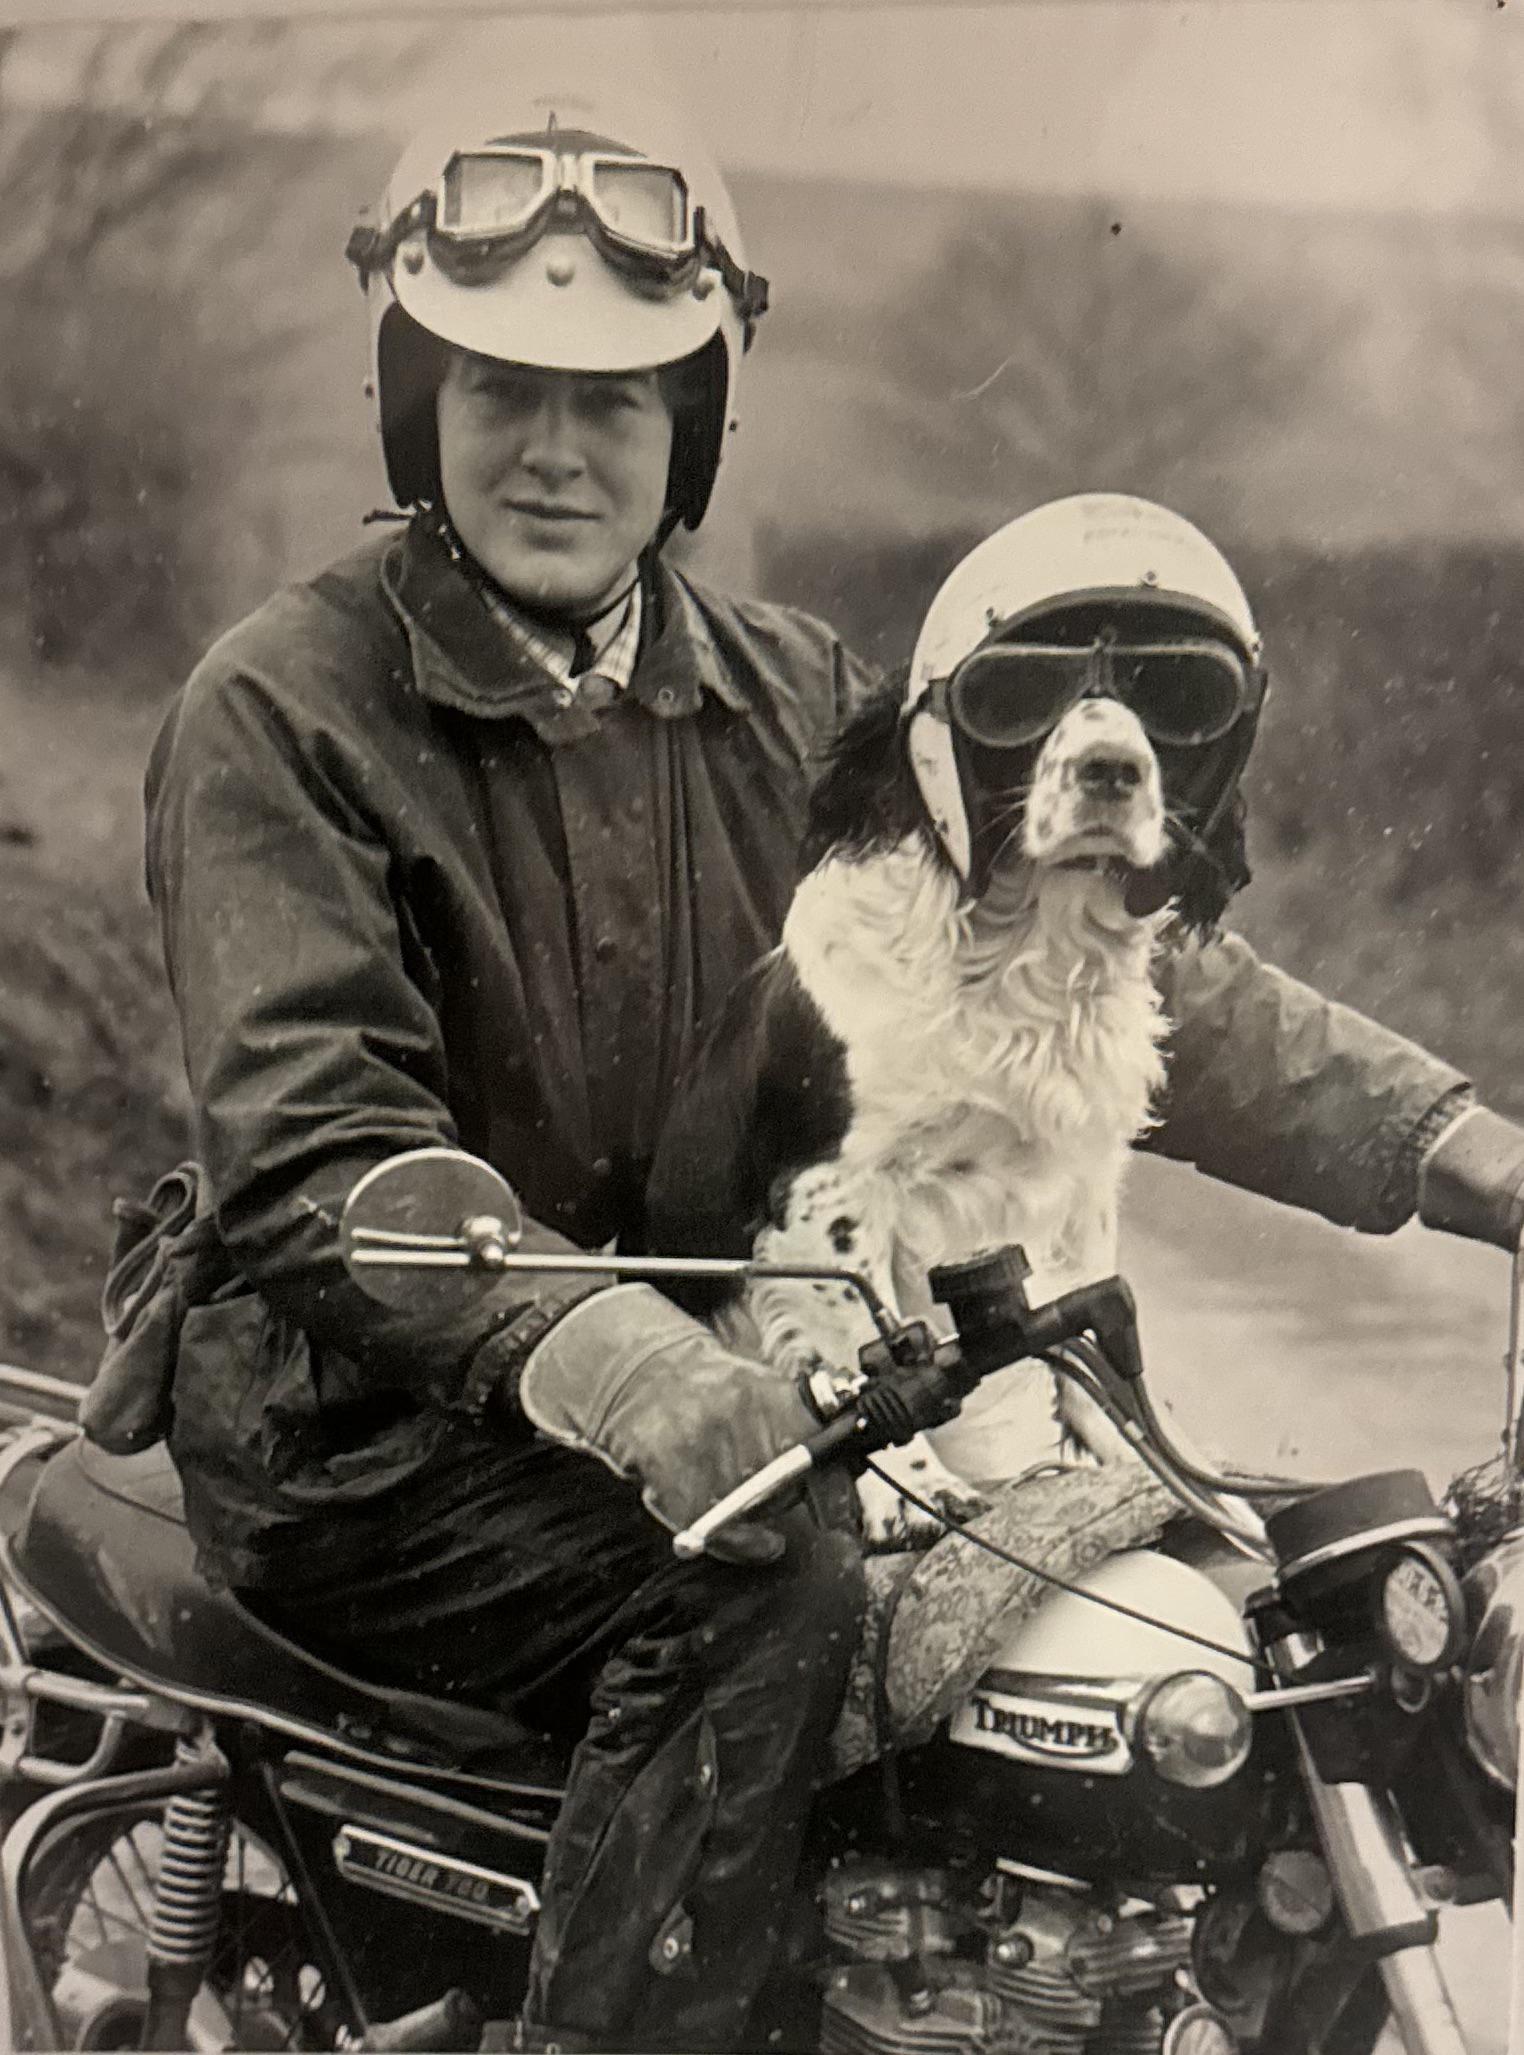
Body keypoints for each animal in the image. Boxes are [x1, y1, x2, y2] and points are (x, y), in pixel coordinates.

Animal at [649, 674, 1174, 1545]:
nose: (1113, 769)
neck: (1020, 954)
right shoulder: (825, 1193)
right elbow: (873, 1354)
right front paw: (915, 1492)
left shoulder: (1081, 1176)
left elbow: (1092, 1338)